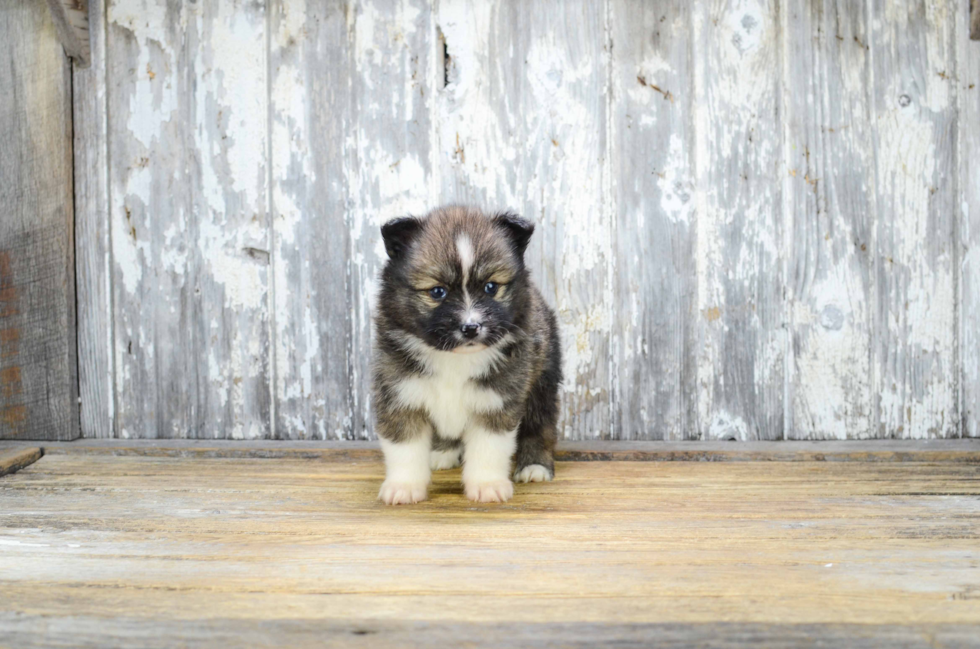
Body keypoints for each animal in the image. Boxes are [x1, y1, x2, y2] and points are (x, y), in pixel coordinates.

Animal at [374, 205, 564, 504]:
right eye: (437, 292)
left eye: (490, 287)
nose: (471, 327)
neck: (454, 357)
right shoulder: (400, 394)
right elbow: (403, 445)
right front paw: (403, 486)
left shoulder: (497, 397)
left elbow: (489, 446)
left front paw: (487, 485)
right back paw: (443, 453)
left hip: (542, 380)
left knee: (541, 423)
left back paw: (535, 466)